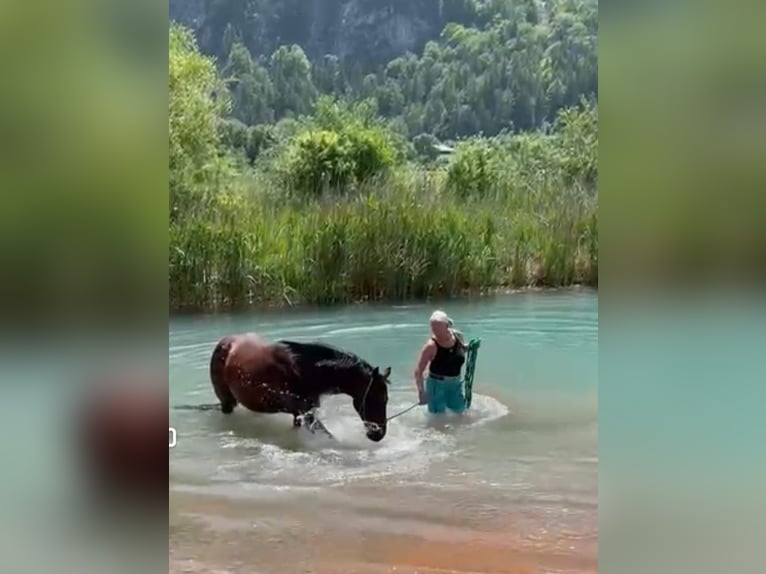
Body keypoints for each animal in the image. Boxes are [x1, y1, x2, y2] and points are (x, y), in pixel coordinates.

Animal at [209, 333, 392, 442]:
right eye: (379, 397)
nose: (378, 434)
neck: (303, 369)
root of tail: (224, 342)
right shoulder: (306, 413)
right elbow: (328, 436)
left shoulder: (301, 413)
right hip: (226, 402)